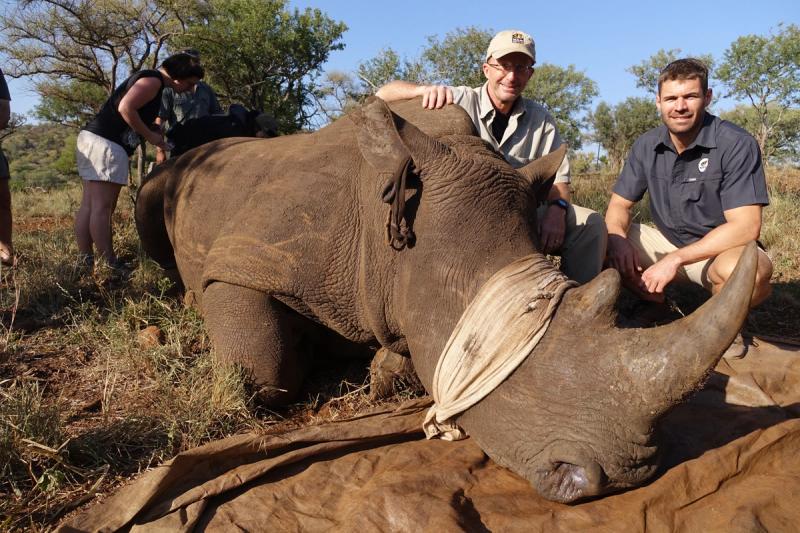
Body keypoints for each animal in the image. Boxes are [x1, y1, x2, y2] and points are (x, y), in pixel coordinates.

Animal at [136, 97, 755, 503]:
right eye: (480, 341)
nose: (627, 475)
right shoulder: (250, 257)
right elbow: (265, 367)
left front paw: (383, 370)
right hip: (174, 175)